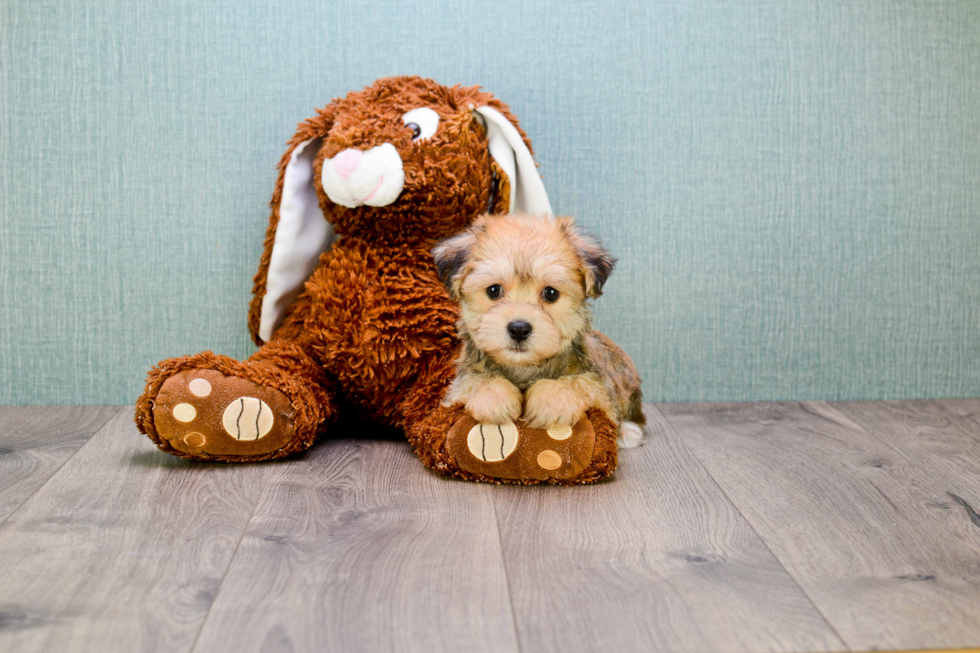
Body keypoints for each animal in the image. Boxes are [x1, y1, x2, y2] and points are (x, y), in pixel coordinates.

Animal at [432, 214, 648, 448]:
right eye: (493, 290)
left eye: (551, 293)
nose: (519, 329)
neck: (524, 367)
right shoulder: (455, 392)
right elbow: (472, 382)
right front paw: (494, 395)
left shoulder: (601, 389)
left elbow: (581, 383)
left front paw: (551, 397)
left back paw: (629, 432)